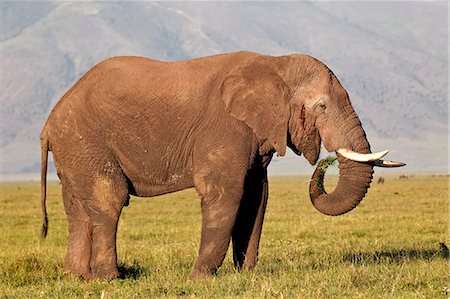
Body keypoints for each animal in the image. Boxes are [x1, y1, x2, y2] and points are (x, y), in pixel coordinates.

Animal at [39, 51, 404, 282]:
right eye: (322, 106)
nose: (325, 163)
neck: (275, 64)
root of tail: (49, 122)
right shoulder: (225, 127)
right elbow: (225, 194)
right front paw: (200, 280)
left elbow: (256, 198)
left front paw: (246, 276)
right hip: (86, 141)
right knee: (109, 201)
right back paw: (111, 279)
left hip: (74, 151)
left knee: (77, 210)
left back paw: (78, 277)